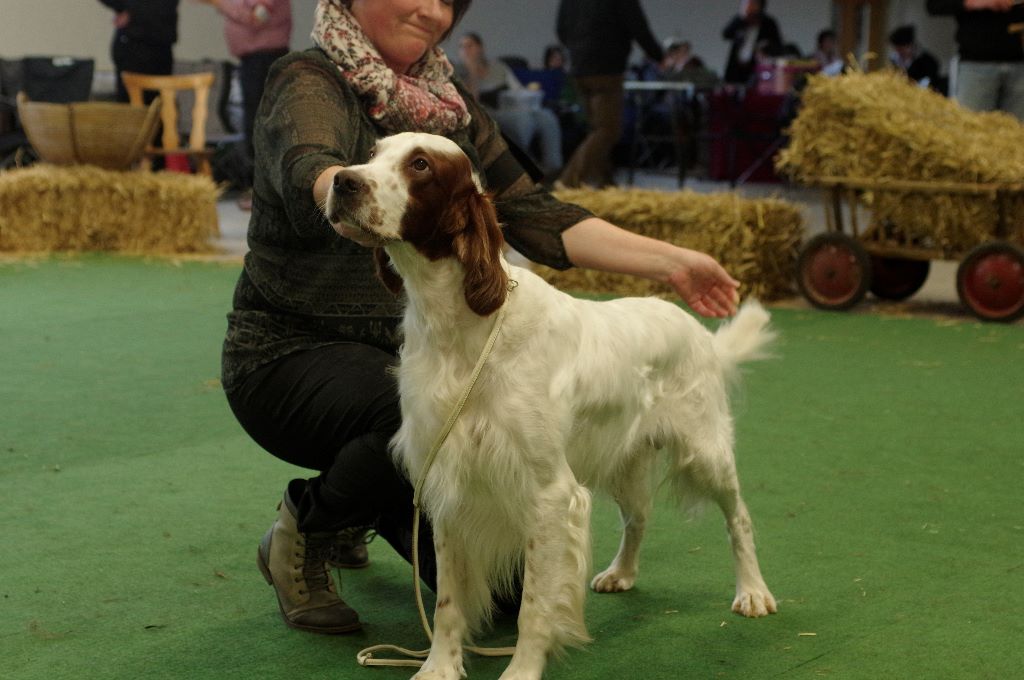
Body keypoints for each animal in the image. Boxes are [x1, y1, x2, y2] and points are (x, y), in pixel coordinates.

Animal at [327, 130, 774, 675]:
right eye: (373, 154)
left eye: (420, 165)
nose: (342, 181)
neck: (460, 326)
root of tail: (701, 334)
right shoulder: (448, 482)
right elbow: (448, 603)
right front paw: (439, 667)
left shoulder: (548, 494)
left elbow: (534, 606)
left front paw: (521, 670)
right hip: (622, 459)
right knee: (638, 516)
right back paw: (621, 572)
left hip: (704, 451)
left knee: (739, 518)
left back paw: (753, 592)